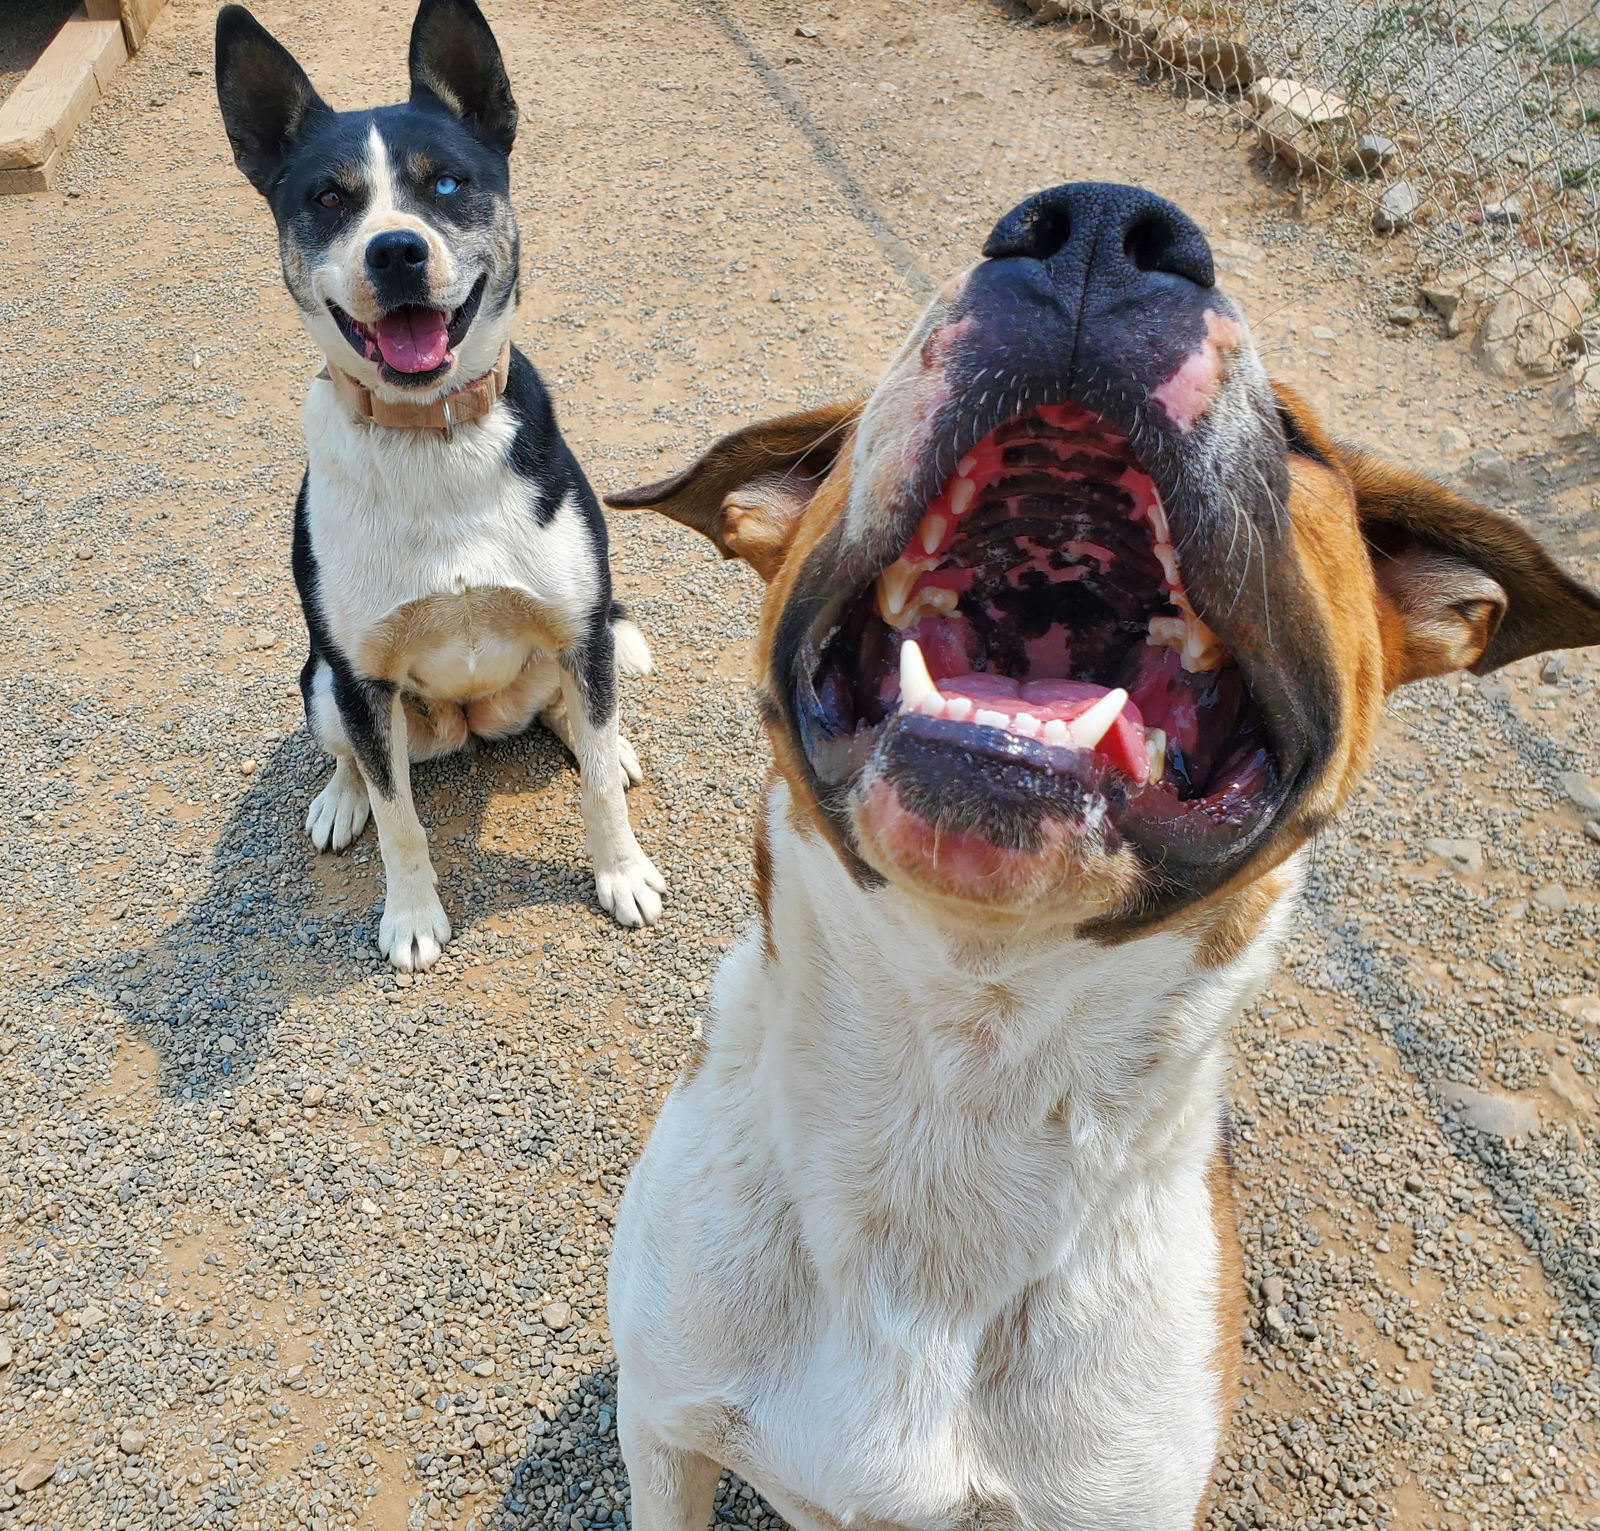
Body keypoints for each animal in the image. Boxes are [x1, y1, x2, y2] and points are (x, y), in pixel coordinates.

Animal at [212, 0, 662, 966]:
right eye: (329, 199)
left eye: (447, 185)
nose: (396, 252)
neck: (432, 436)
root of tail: (473, 718)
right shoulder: (359, 676)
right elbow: (399, 820)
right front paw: (412, 917)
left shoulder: (580, 625)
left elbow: (598, 788)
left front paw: (621, 873)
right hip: (323, 684)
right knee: (354, 755)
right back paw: (338, 796)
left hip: (571, 643)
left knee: (581, 716)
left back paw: (601, 740)